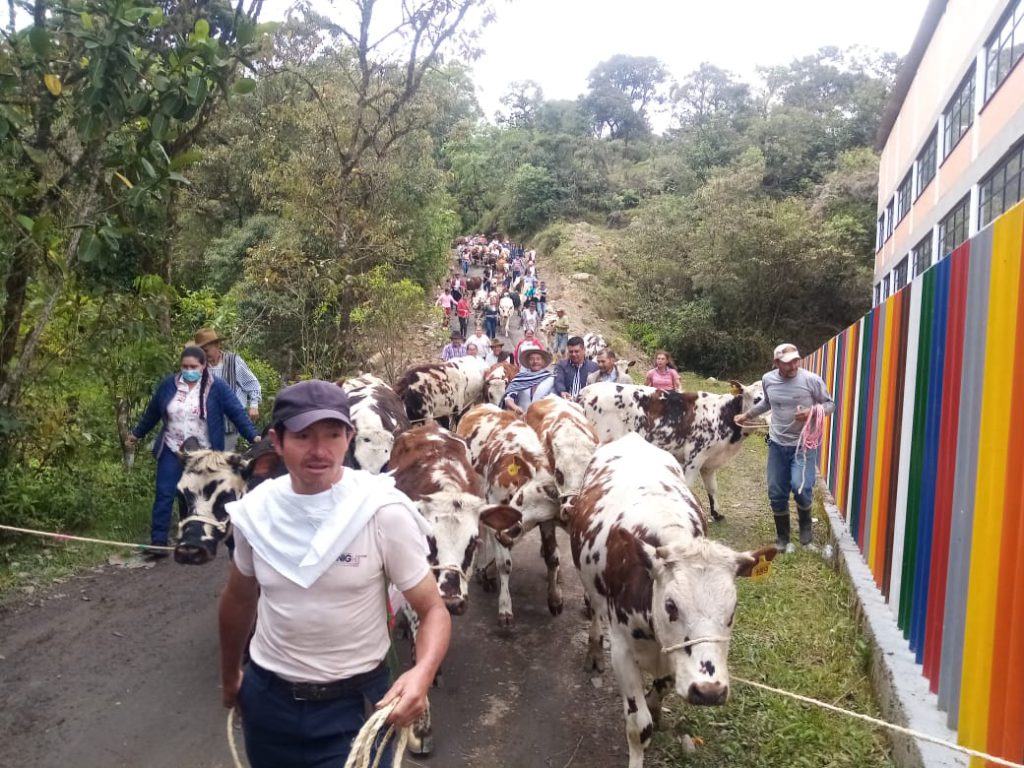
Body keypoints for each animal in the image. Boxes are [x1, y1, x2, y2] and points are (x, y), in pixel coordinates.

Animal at [458, 403, 565, 626]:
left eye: (540, 518)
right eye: (521, 498)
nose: (507, 535)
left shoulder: (546, 523)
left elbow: (552, 557)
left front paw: (555, 599)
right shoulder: (495, 505)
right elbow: (504, 563)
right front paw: (505, 608)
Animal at [569, 436, 774, 765]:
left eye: (732, 611)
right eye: (671, 605)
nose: (709, 691)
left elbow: (661, 688)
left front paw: (656, 709)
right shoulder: (622, 651)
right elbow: (638, 725)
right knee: (595, 612)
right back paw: (593, 650)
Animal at [577, 382, 770, 524]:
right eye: (757, 399)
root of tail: (587, 391)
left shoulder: (710, 462)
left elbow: (712, 488)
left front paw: (717, 513)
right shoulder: (695, 456)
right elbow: (688, 485)